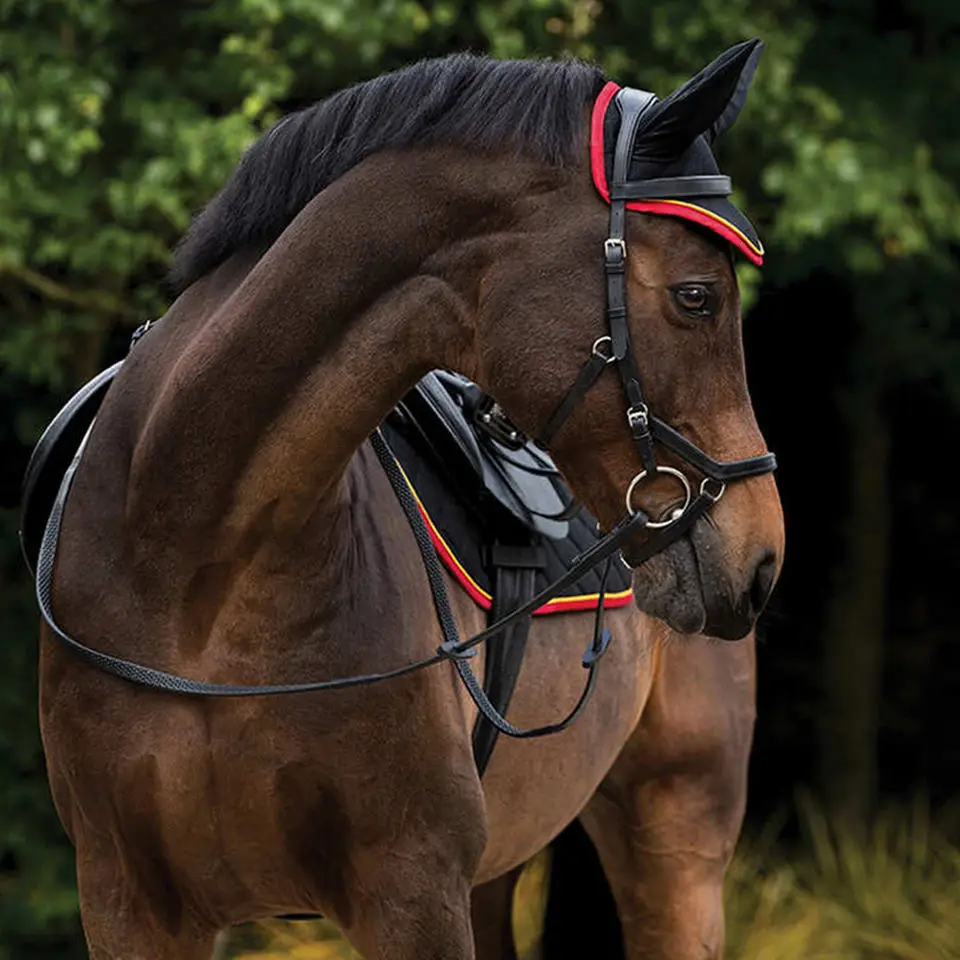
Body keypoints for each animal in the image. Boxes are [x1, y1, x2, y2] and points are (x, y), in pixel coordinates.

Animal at [35, 44, 784, 960]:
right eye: (695, 296)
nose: (761, 555)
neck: (198, 575)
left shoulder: (413, 891)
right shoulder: (129, 904)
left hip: (678, 843)